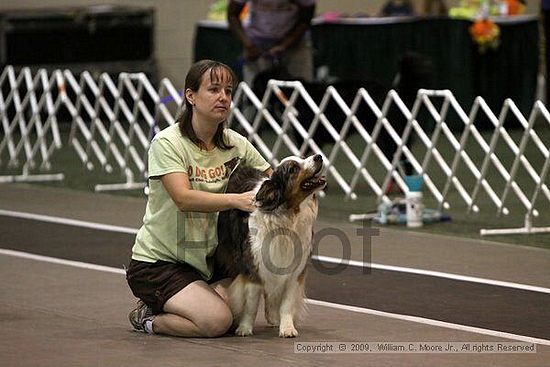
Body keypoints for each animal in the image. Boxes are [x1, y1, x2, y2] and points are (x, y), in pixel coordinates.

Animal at [216, 154, 328, 338]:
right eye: (293, 169)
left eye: (302, 157)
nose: (318, 156)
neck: (287, 215)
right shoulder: (254, 268)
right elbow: (251, 304)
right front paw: (245, 328)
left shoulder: (294, 270)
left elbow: (287, 303)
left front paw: (287, 328)